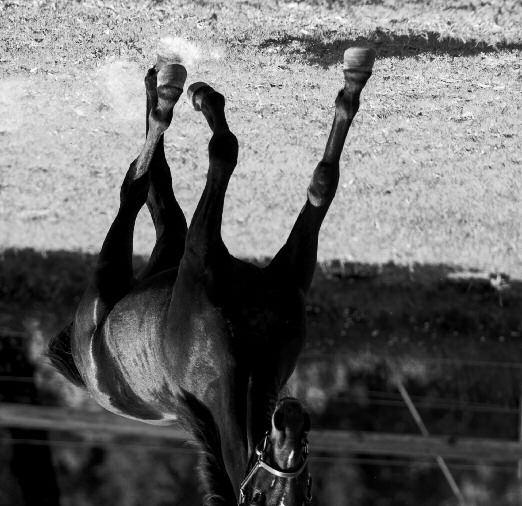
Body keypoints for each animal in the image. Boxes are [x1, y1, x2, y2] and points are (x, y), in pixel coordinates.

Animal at [48, 45, 374, 504]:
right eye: (259, 497)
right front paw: (353, 79)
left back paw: (160, 88)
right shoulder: (204, 259)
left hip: (161, 258)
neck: (247, 361)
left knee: (159, 196)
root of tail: (86, 368)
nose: (289, 421)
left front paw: (353, 79)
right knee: (135, 185)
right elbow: (241, 154)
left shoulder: (274, 272)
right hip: (107, 284)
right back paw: (168, 93)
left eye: (305, 491)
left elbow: (316, 181)